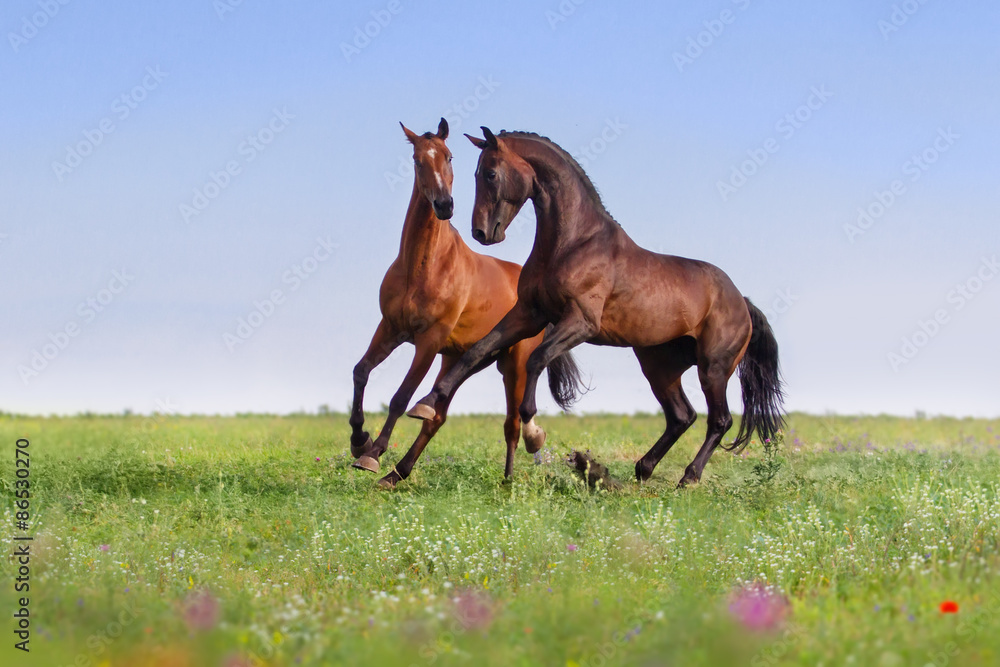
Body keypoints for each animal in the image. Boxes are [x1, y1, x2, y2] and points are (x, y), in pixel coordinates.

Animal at [354, 118, 584, 490]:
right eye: (418, 160)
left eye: (449, 157)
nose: (444, 205)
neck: (424, 266)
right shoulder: (390, 328)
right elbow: (361, 372)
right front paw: (358, 440)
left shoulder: (428, 340)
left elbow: (400, 397)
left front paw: (371, 455)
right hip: (460, 359)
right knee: (435, 415)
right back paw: (397, 473)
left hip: (513, 365)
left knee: (511, 423)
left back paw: (508, 479)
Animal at [410, 128, 784, 488]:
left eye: (489, 173)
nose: (481, 232)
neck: (574, 242)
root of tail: (742, 301)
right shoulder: (529, 315)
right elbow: (477, 350)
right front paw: (426, 403)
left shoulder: (580, 322)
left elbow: (537, 359)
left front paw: (534, 433)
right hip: (659, 367)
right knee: (682, 416)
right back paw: (643, 469)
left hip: (713, 368)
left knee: (719, 420)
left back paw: (688, 478)